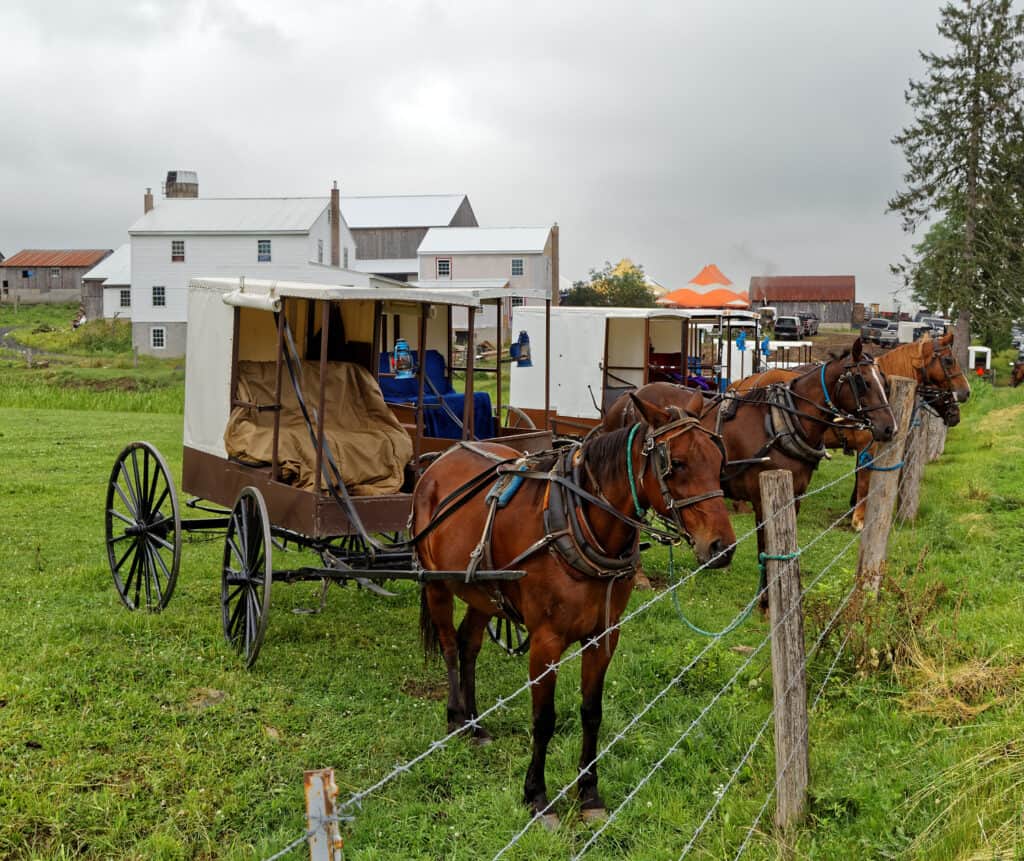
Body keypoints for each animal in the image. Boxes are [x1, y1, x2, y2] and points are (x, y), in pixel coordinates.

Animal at [413, 393, 737, 823]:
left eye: (719, 462)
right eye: (677, 463)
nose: (722, 548)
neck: (575, 521)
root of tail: (440, 459)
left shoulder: (604, 636)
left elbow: (592, 712)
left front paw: (589, 793)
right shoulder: (545, 642)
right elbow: (544, 719)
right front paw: (536, 795)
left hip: (484, 589)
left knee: (469, 645)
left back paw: (476, 723)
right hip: (437, 583)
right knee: (450, 646)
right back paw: (456, 718)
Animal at [602, 337, 892, 569]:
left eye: (884, 382)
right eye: (863, 382)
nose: (889, 427)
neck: (783, 422)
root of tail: (625, 398)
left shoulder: (795, 495)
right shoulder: (764, 499)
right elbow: (766, 549)